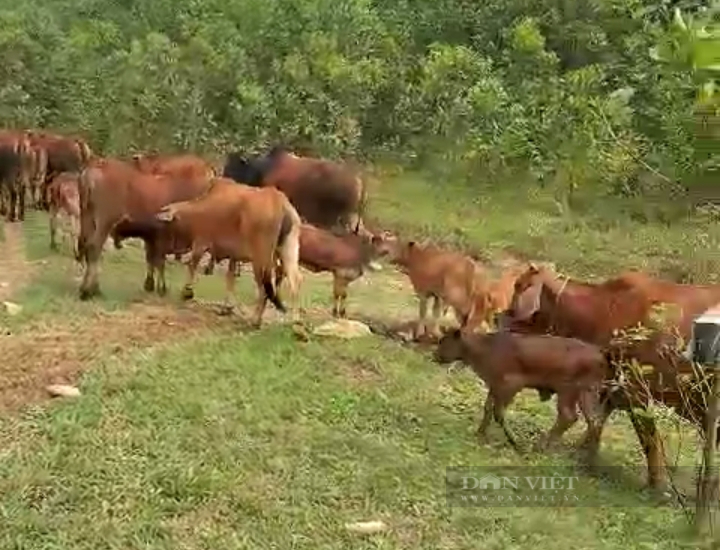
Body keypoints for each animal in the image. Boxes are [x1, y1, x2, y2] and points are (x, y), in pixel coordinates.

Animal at [76, 157, 212, 300]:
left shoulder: (152, 236)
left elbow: (151, 259)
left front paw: (150, 284)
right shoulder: (164, 234)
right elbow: (160, 261)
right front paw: (162, 288)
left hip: (86, 217)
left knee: (85, 245)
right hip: (105, 220)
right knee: (94, 247)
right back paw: (89, 290)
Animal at [156, 179, 302, 330]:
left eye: (167, 226)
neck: (199, 208)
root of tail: (279, 202)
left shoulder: (200, 244)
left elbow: (192, 266)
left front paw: (187, 293)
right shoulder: (234, 256)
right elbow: (230, 278)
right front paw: (227, 307)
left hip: (260, 260)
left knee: (264, 289)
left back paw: (255, 320)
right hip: (287, 251)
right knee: (294, 281)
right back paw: (295, 321)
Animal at [436, 328, 612, 458]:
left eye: (444, 341)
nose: (435, 355)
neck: (486, 347)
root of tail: (600, 354)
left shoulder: (510, 386)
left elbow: (498, 413)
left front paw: (515, 442)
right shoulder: (495, 385)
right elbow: (487, 408)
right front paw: (480, 433)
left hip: (567, 390)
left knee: (569, 416)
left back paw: (541, 447)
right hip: (586, 392)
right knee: (594, 420)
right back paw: (585, 455)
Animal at [504, 264, 720, 492]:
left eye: (519, 286)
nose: (500, 316)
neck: (603, 309)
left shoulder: (635, 389)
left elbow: (648, 438)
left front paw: (657, 485)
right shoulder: (611, 385)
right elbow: (597, 420)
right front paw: (583, 456)